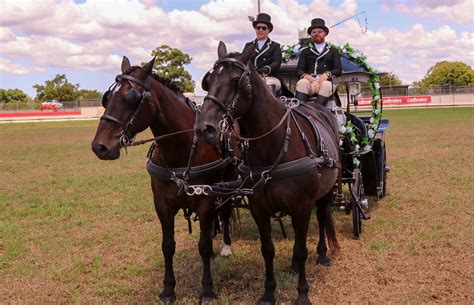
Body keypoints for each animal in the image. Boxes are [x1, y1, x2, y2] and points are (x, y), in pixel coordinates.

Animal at [91, 55, 237, 302]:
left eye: (131, 97)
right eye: (107, 97)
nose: (99, 147)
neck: (183, 148)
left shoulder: (206, 201)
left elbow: (204, 246)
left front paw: (207, 289)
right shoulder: (162, 204)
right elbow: (168, 246)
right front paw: (168, 289)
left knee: (225, 212)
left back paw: (226, 246)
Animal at [196, 43, 340, 304]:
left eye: (236, 80)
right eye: (208, 81)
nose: (205, 128)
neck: (274, 145)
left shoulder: (303, 206)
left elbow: (302, 249)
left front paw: (302, 294)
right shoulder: (259, 208)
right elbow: (268, 250)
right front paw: (269, 292)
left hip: (325, 192)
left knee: (323, 218)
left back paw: (323, 255)